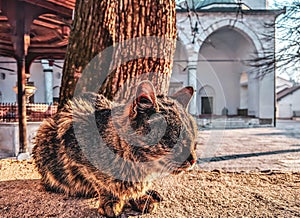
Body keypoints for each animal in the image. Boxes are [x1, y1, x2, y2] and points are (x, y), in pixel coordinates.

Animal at [32, 81, 197, 217]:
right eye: (176, 140)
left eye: (195, 142)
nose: (194, 160)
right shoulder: (78, 157)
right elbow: (101, 183)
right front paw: (111, 200)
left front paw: (141, 196)